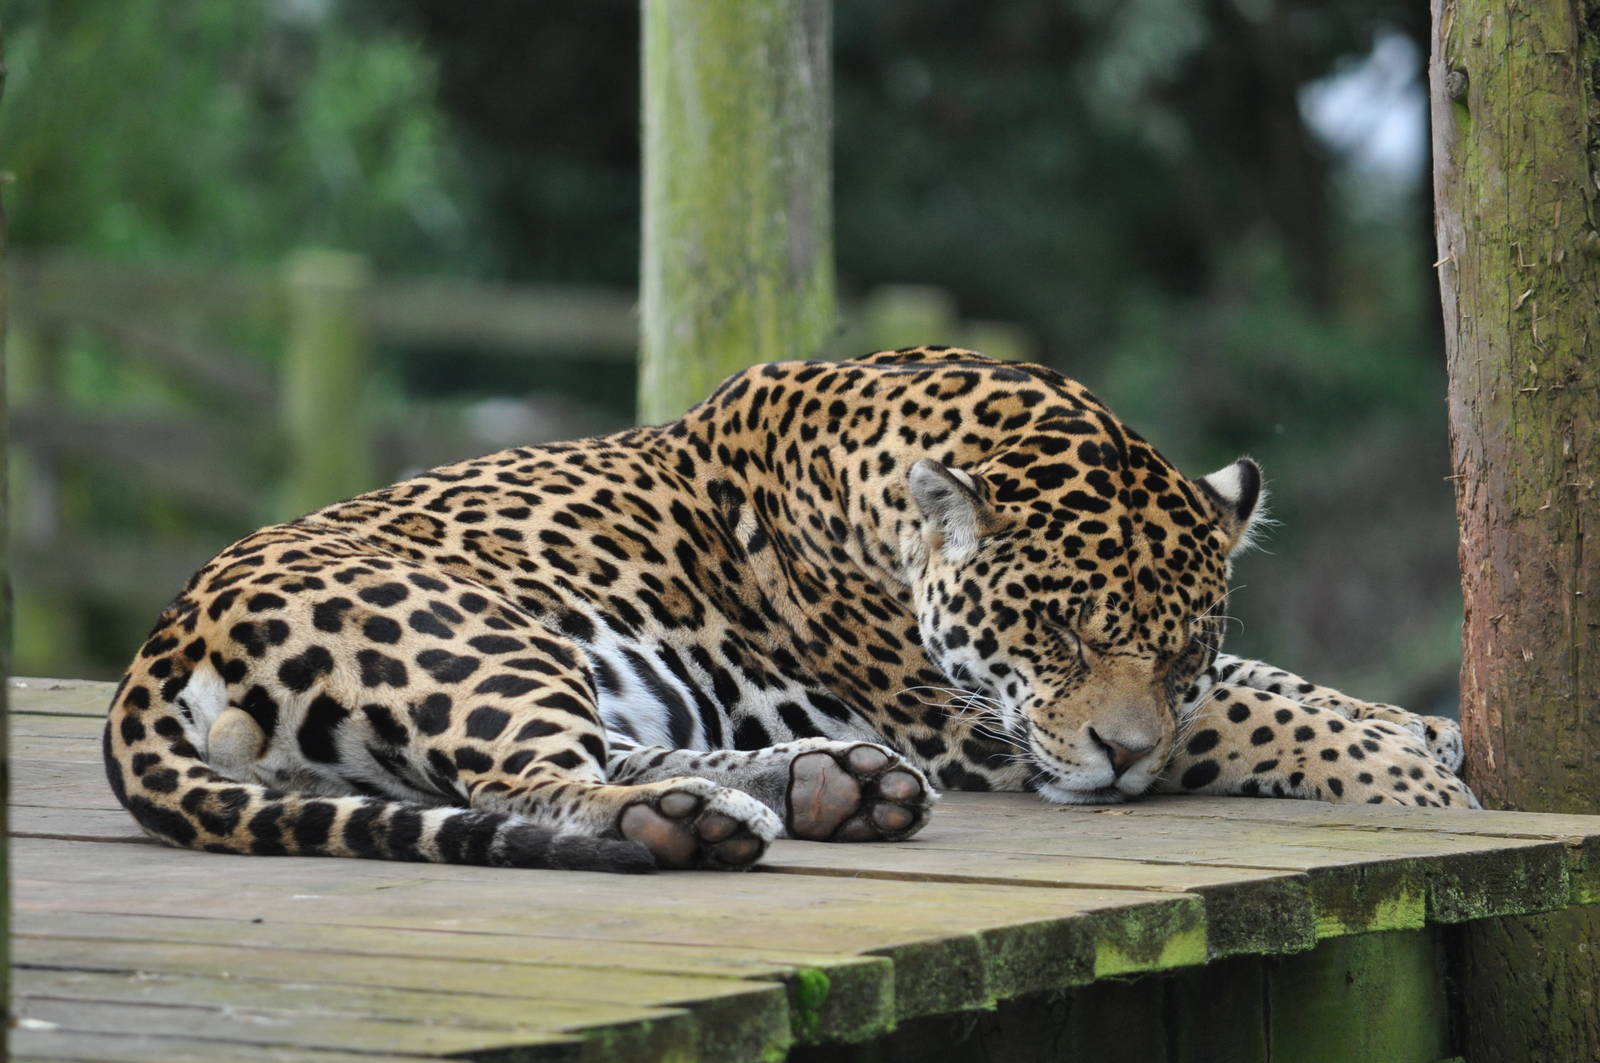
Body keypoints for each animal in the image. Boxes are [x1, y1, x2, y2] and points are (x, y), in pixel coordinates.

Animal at [103, 347, 1477, 874]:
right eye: (1058, 633)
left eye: (1182, 643)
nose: (1123, 762)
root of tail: (159, 646)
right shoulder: (969, 718)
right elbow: (1249, 715)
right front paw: (1416, 778)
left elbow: (1263, 683)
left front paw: (1419, 726)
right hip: (475, 628)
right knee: (531, 779)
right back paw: (694, 820)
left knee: (580, 756)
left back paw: (821, 783)